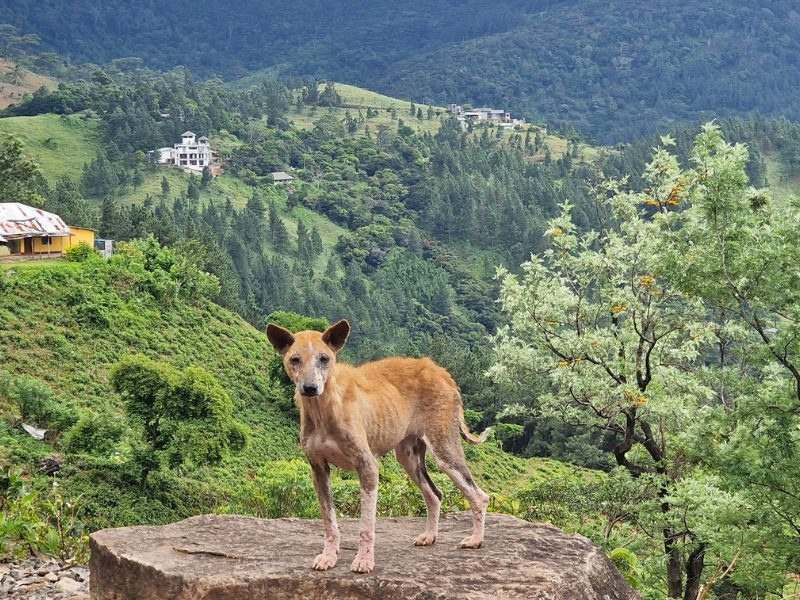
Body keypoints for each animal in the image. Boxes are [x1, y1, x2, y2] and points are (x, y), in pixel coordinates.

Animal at [268, 322, 488, 576]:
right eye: (295, 359)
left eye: (324, 359)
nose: (310, 388)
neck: (324, 409)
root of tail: (440, 370)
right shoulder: (318, 469)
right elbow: (329, 521)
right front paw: (329, 557)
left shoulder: (367, 466)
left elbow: (366, 525)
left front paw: (364, 561)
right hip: (407, 456)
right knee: (435, 494)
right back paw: (430, 536)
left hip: (444, 449)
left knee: (480, 496)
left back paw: (475, 540)